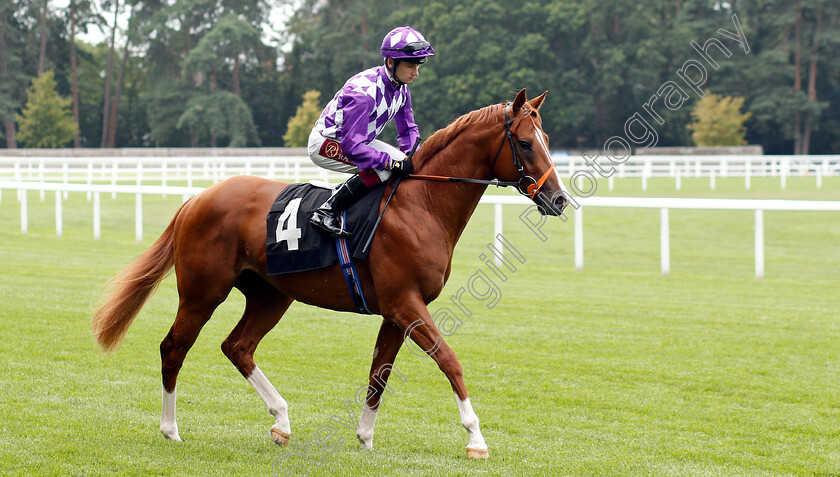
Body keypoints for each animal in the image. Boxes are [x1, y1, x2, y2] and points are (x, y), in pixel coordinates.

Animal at [92, 88, 568, 458]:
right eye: (525, 143)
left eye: (547, 139)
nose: (559, 199)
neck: (423, 205)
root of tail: (197, 198)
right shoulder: (406, 303)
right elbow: (449, 360)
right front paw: (476, 439)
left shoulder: (396, 310)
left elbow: (379, 374)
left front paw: (366, 437)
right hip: (202, 292)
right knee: (174, 348)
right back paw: (171, 430)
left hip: (271, 294)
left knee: (237, 346)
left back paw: (282, 421)